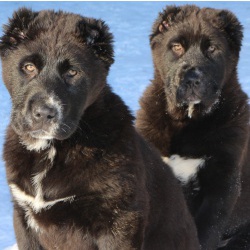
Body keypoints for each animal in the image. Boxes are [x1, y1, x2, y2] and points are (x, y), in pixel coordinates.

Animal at [0, 7, 199, 250]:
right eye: (28, 67)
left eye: (73, 73)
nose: (44, 113)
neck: (52, 150)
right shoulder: (24, 216)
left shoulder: (120, 219)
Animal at [136, 3, 250, 250]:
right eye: (177, 46)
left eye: (213, 49)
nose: (191, 77)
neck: (187, 122)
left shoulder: (222, 185)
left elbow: (205, 232)